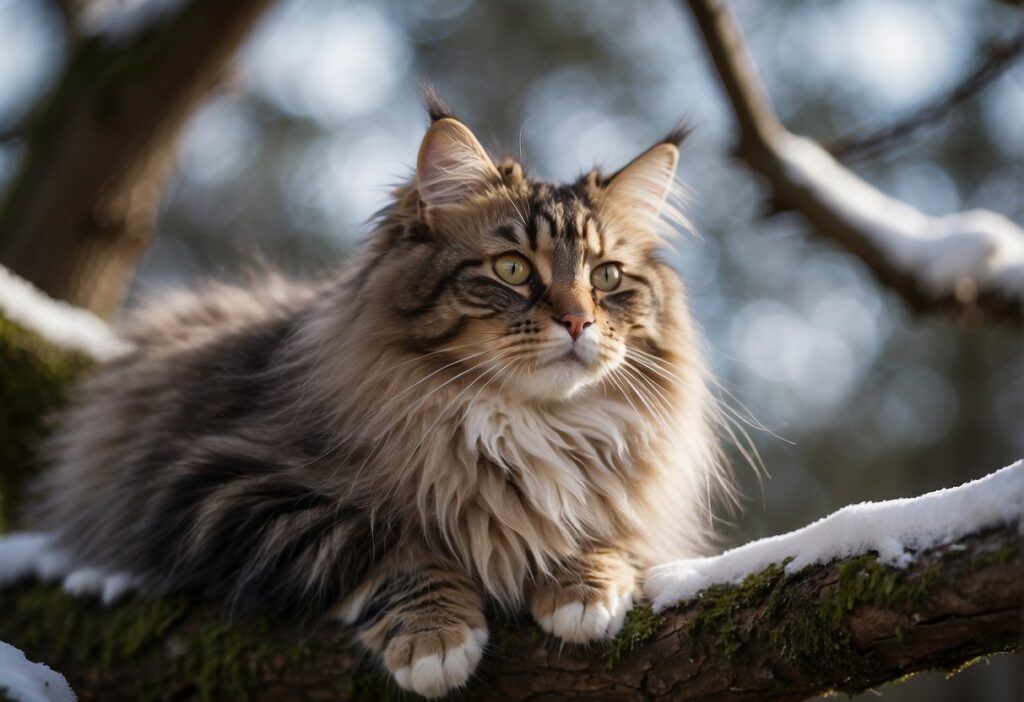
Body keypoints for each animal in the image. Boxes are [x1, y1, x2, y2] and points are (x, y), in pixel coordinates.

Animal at [28, 92, 733, 699]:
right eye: (511, 269)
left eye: (607, 278)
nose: (579, 321)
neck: (524, 423)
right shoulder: (221, 484)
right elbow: (385, 544)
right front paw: (436, 639)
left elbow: (599, 527)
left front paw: (583, 586)